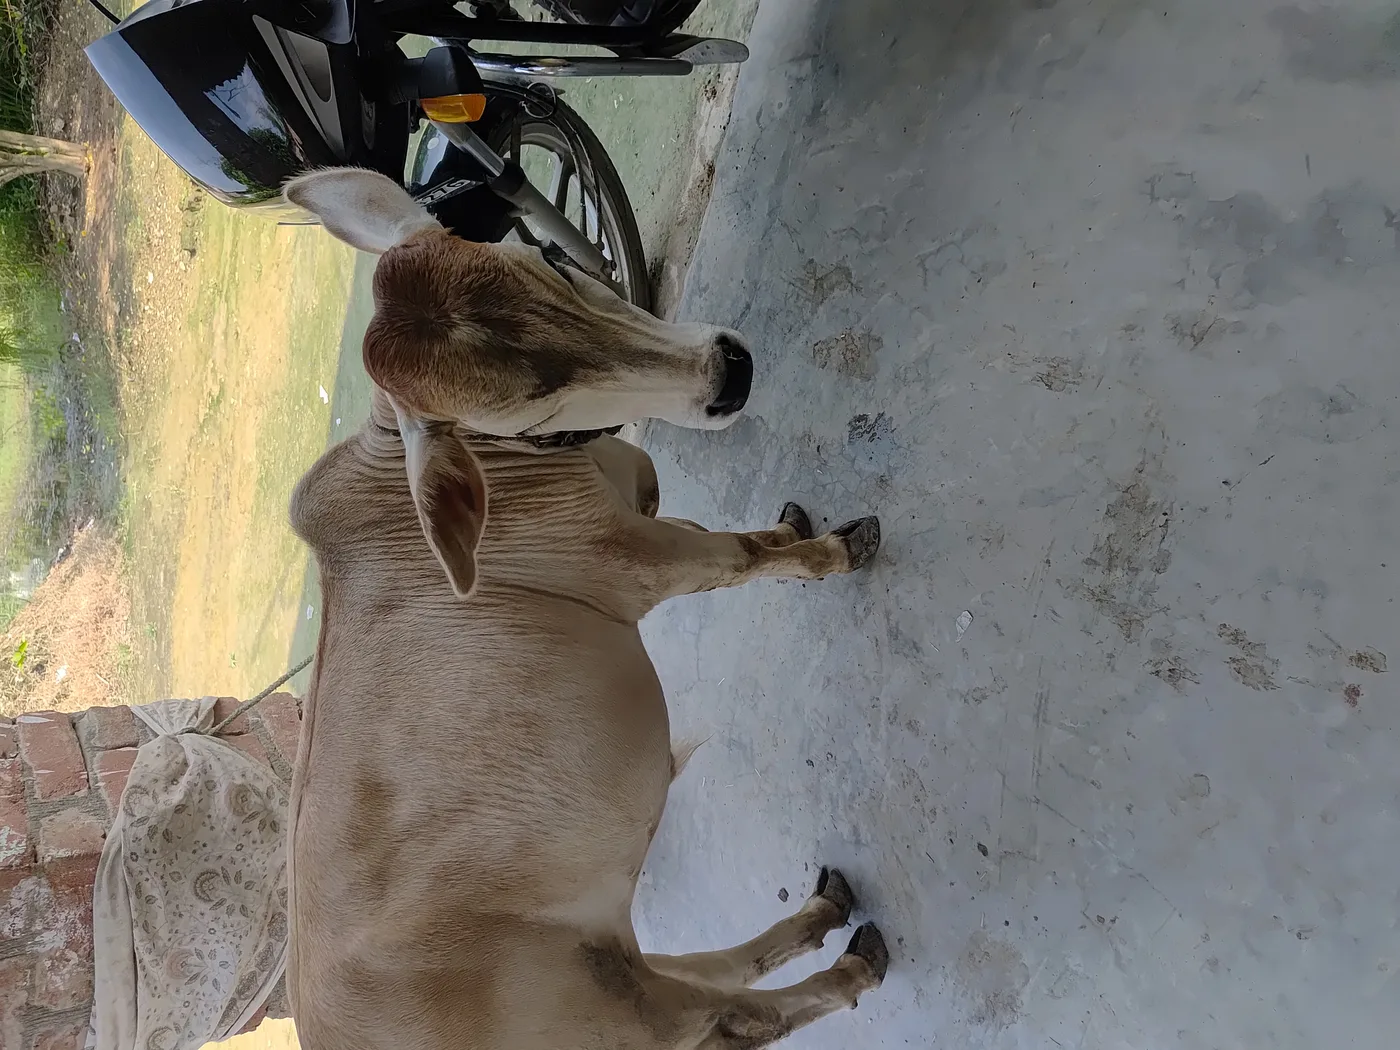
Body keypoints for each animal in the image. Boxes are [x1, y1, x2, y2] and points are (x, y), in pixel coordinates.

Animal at [283, 167, 890, 1050]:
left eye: (549, 261)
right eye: (528, 413)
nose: (728, 372)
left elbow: (742, 534)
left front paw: (794, 525)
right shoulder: (638, 561)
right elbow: (741, 556)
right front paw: (834, 551)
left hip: (617, 952)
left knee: (714, 972)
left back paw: (821, 912)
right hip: (620, 1010)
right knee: (732, 1016)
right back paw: (850, 964)